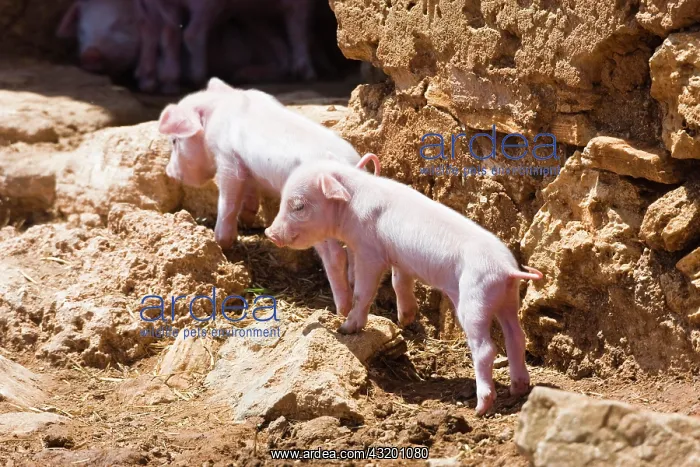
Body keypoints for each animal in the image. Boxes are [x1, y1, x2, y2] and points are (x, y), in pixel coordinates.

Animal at [157, 77, 377, 317]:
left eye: (175, 142)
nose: (169, 172)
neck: (218, 107)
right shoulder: (247, 168)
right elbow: (249, 190)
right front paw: (247, 219)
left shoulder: (228, 159)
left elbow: (228, 201)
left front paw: (221, 242)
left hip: (315, 223)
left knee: (336, 255)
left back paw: (342, 310)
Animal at [264, 161, 544, 415]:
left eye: (299, 205)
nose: (269, 233)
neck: (352, 204)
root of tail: (507, 270)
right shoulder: (401, 259)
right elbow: (400, 283)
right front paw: (404, 319)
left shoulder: (369, 252)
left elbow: (363, 292)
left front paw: (346, 329)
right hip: (508, 299)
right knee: (516, 337)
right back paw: (518, 389)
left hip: (475, 299)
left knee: (486, 349)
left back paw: (480, 407)